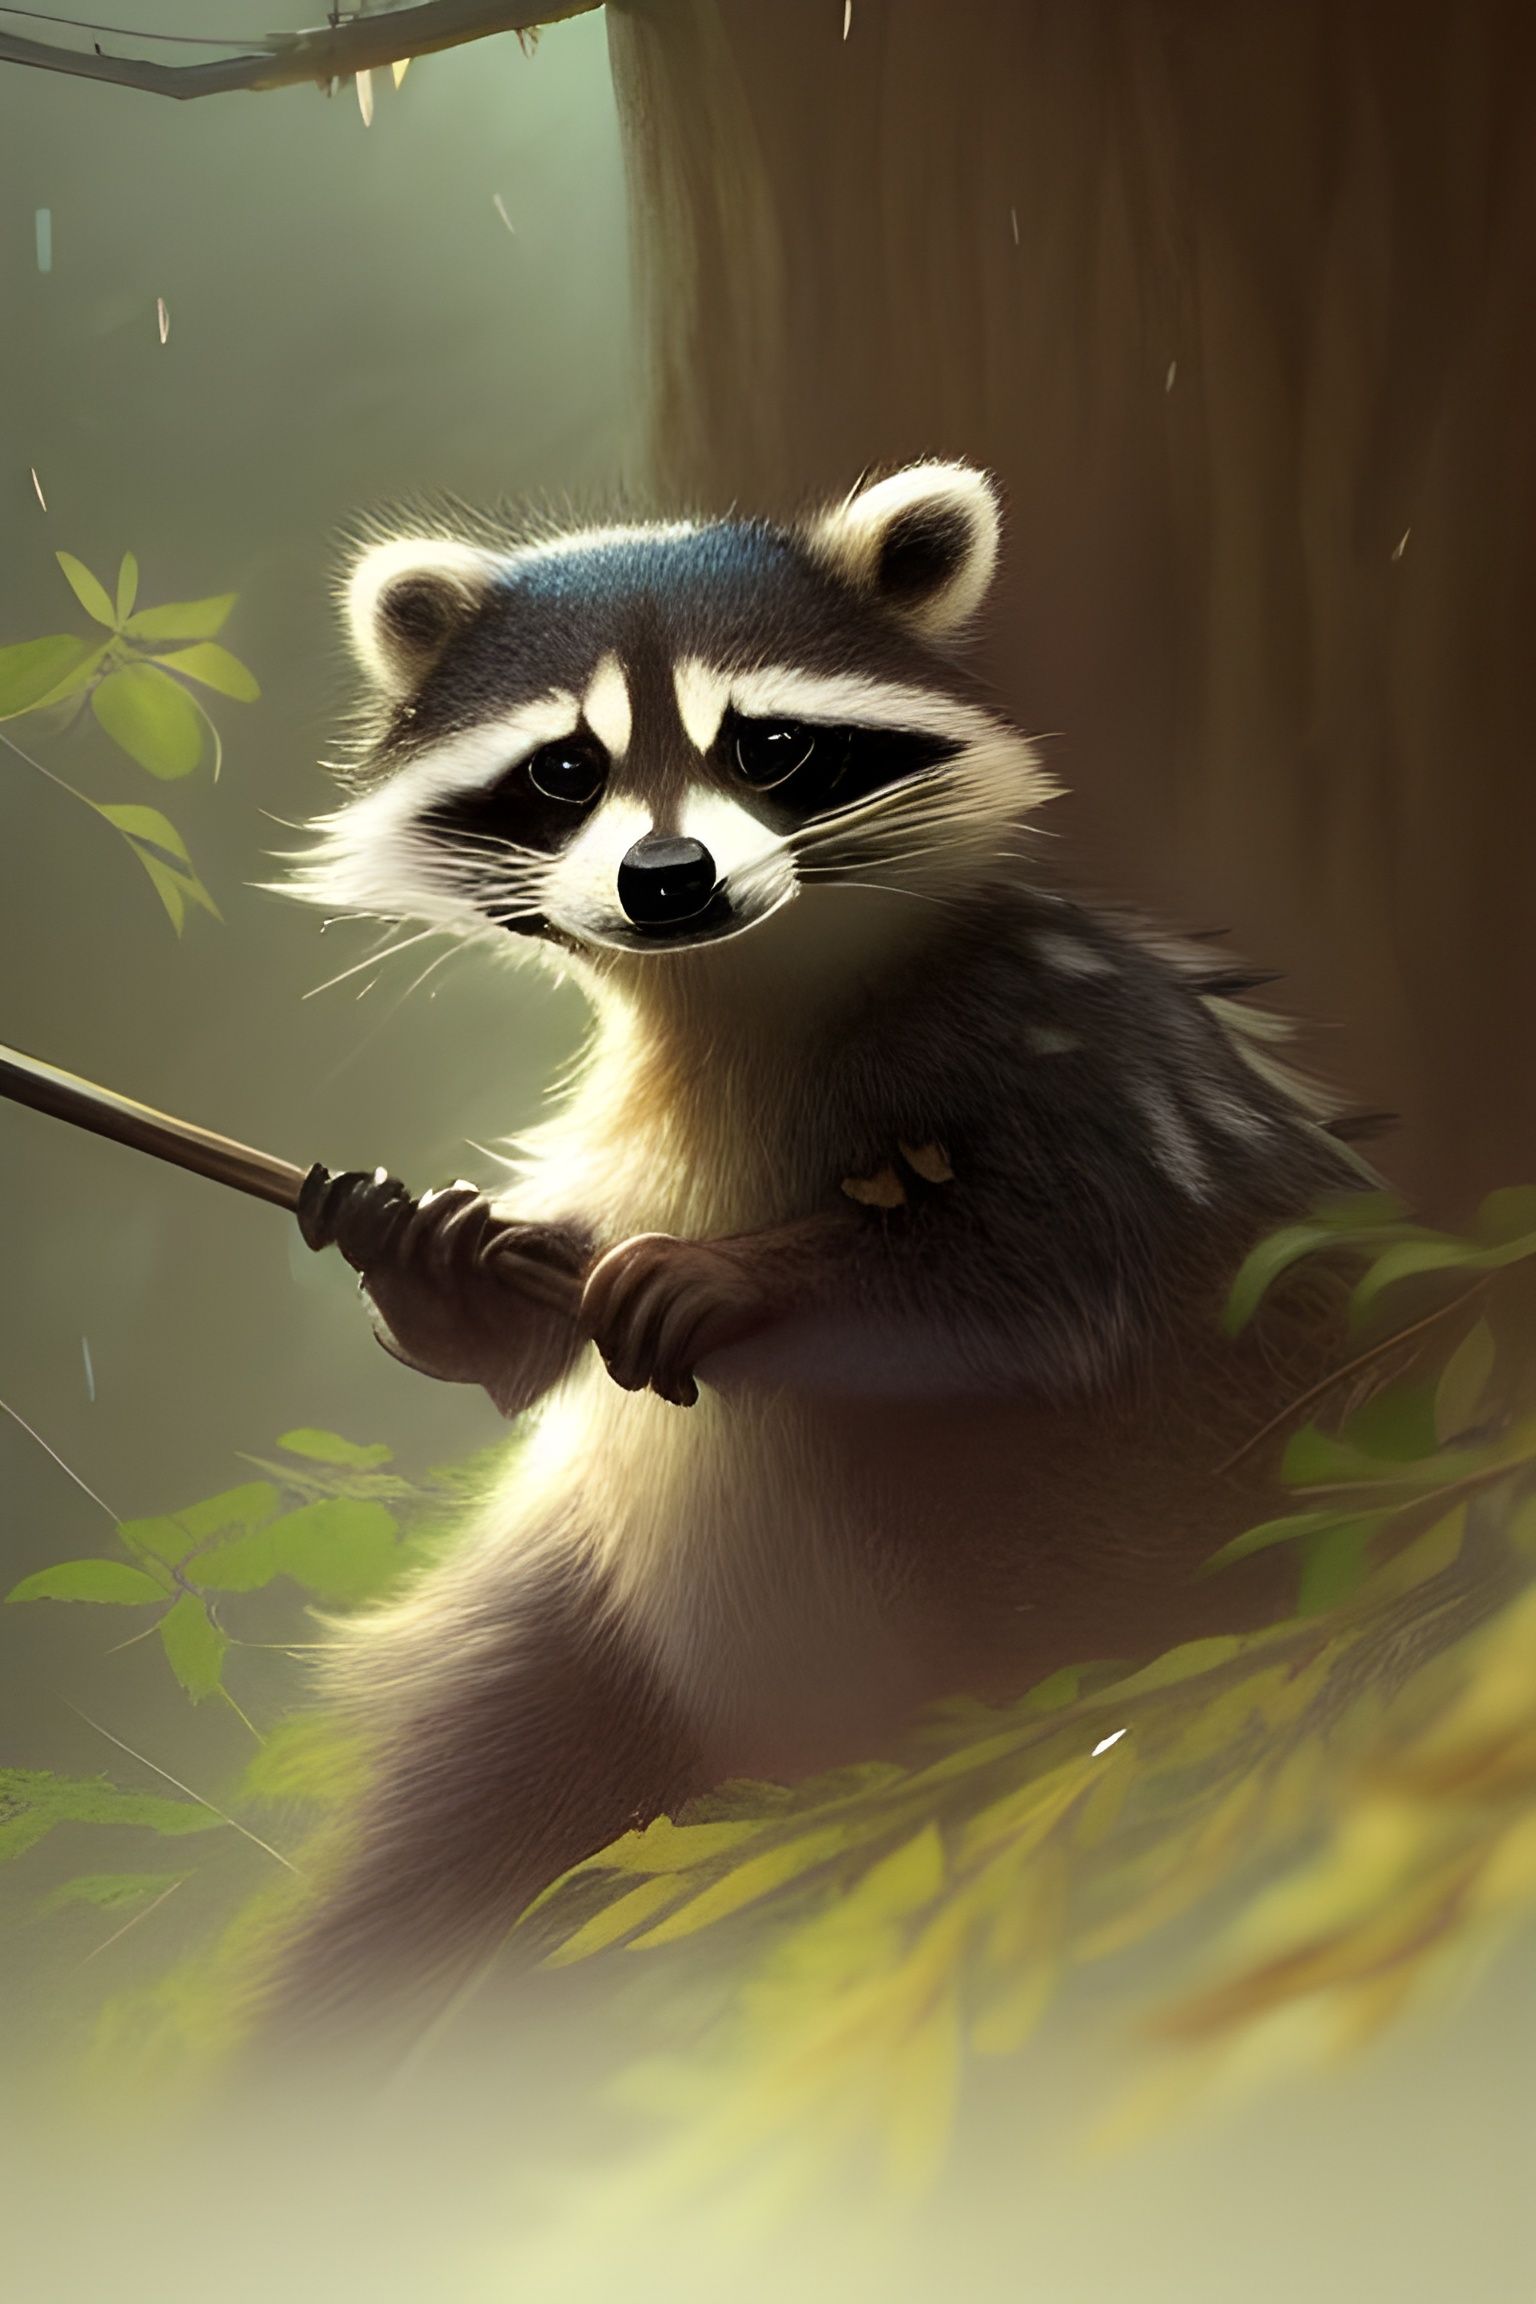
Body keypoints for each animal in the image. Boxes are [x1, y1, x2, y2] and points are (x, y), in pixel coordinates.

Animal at [278, 461, 1359, 2025]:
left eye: (771, 745)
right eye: (566, 769)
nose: (668, 878)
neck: (718, 982)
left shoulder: (1078, 1037)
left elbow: (1052, 1264)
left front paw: (752, 1275)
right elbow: (531, 1343)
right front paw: (436, 1270)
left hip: (1110, 1514)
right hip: (589, 1641)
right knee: (430, 1841)